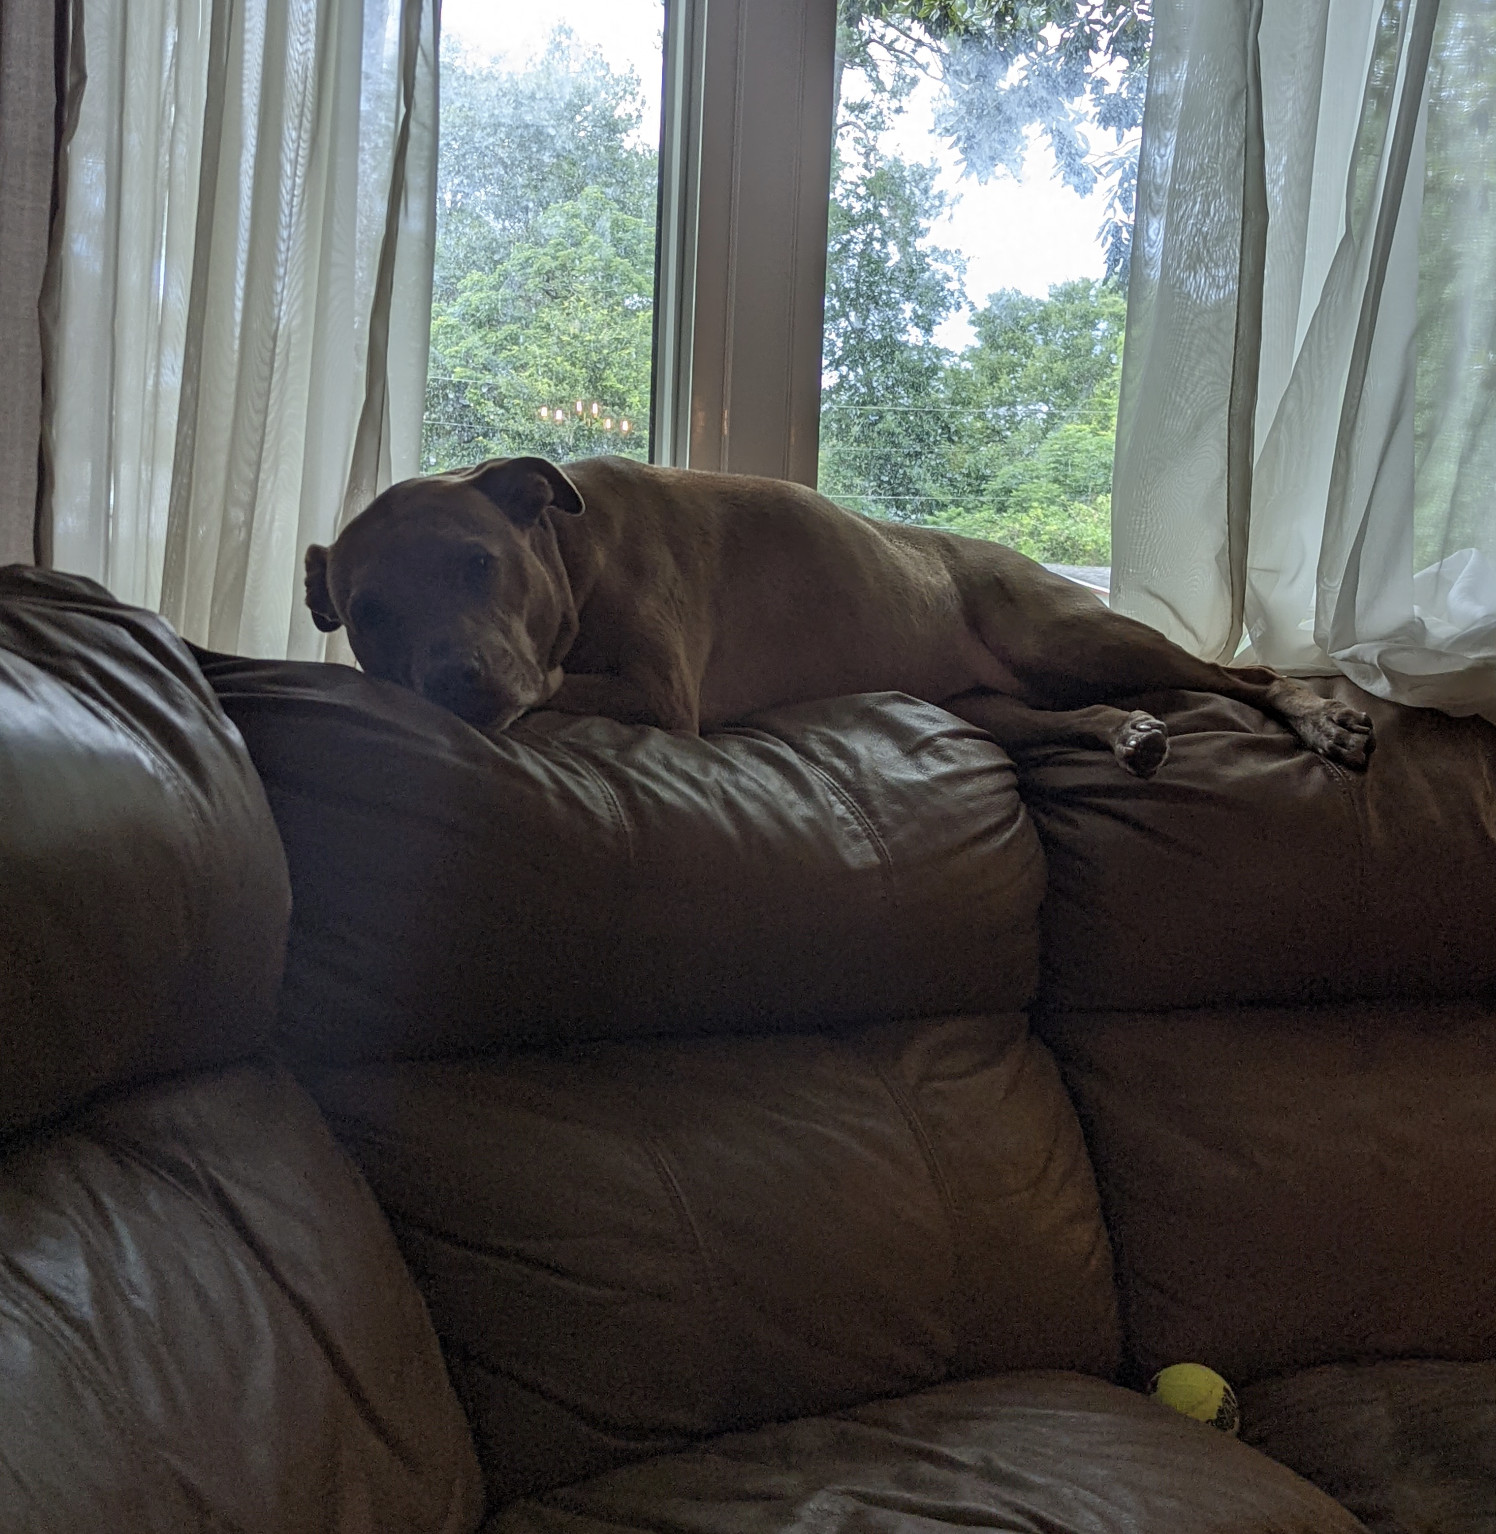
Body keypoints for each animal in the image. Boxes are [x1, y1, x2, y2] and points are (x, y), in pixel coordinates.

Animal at [306, 450, 1380, 773]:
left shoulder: (658, 691)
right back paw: (1128, 732)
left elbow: (561, 688)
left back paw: (1323, 719)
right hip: (990, 704)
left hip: (1071, 632)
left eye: (479, 563)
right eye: (371, 615)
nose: (455, 683)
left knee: (1245, 674)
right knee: (1075, 715)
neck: (571, 554)